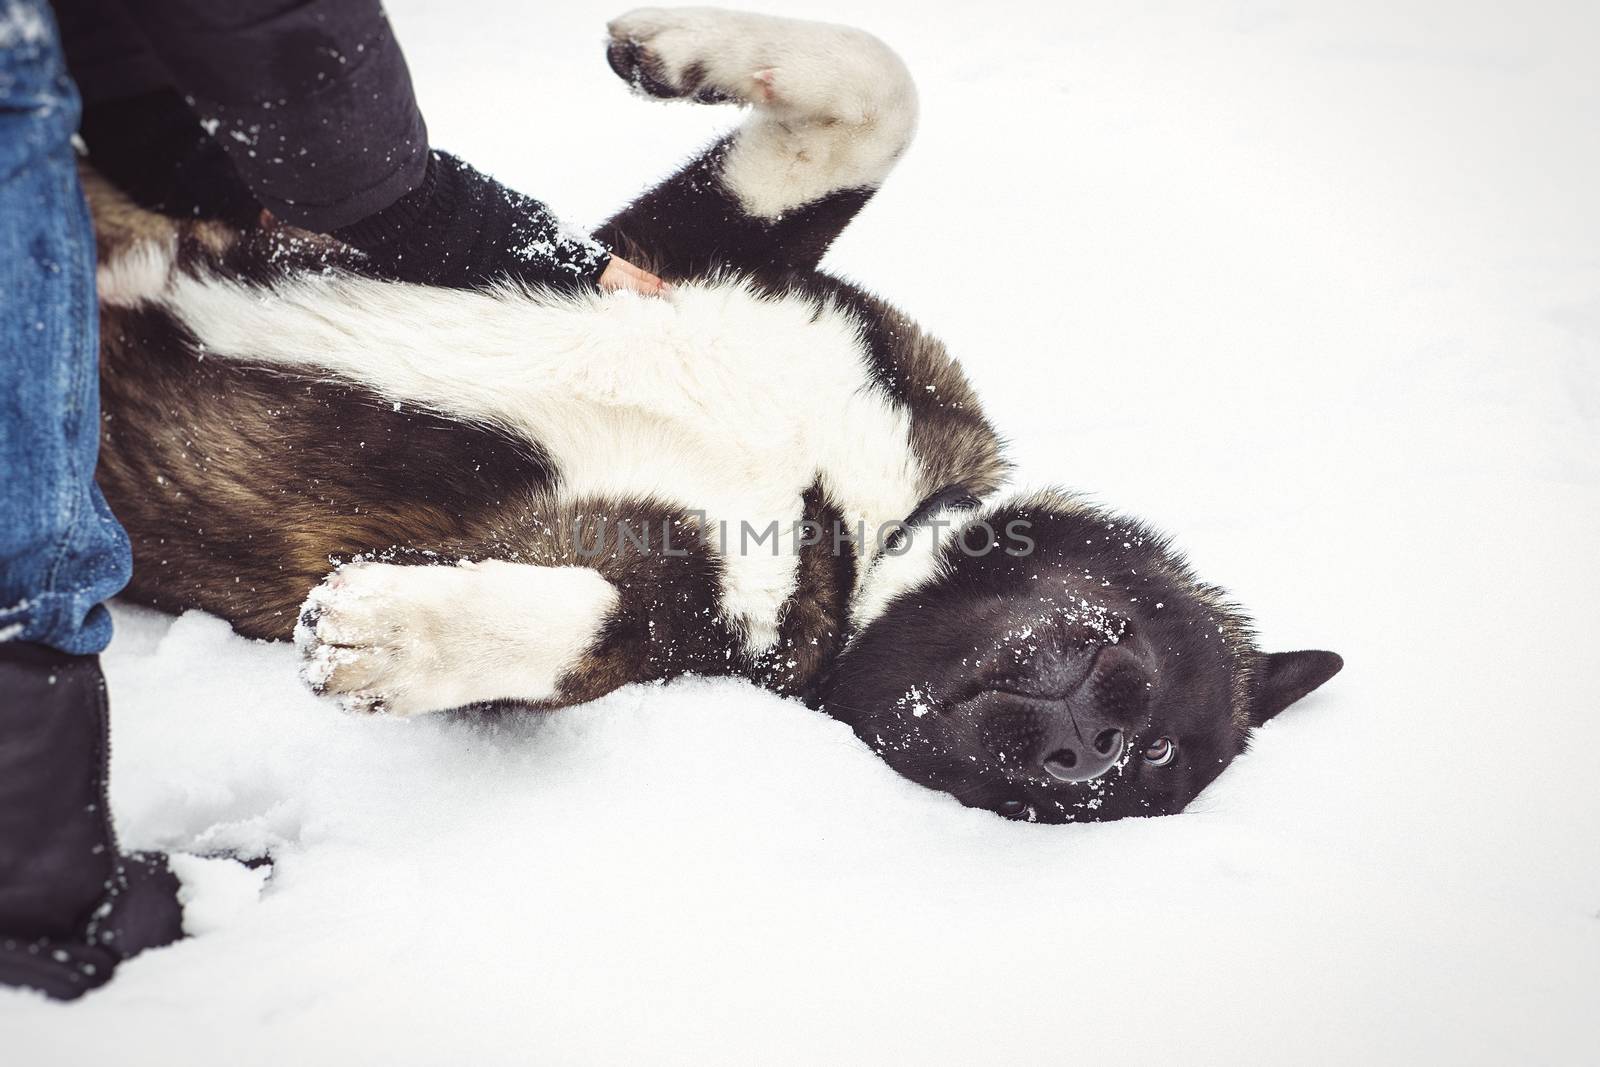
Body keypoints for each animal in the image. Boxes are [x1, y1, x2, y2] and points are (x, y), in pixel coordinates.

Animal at [84, 8, 1337, 825]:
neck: (861, 522)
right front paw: (677, 48)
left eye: (1152, 756)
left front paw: (396, 635)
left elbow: (578, 621)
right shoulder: (675, 254)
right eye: (1130, 635)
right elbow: (880, 90)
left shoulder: (672, 602)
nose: (1087, 745)